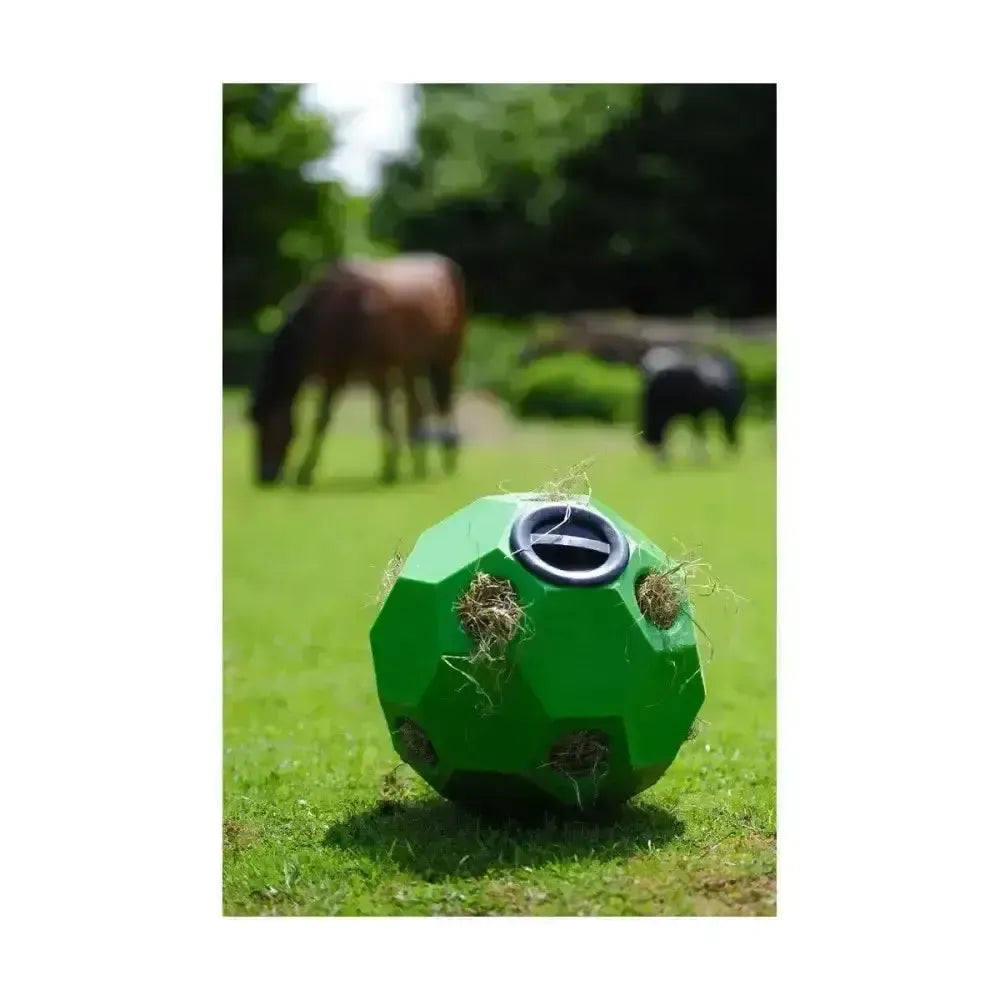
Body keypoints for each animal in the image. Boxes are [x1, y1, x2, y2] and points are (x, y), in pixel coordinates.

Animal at [247, 254, 466, 486]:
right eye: (255, 422)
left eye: (267, 423)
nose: (264, 477)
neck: (339, 313)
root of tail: (448, 266)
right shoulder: (349, 376)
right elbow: (355, 420)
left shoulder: (361, 374)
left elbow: (357, 420)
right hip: (412, 366)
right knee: (416, 408)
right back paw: (419, 465)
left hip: (445, 362)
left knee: (443, 402)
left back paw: (448, 457)